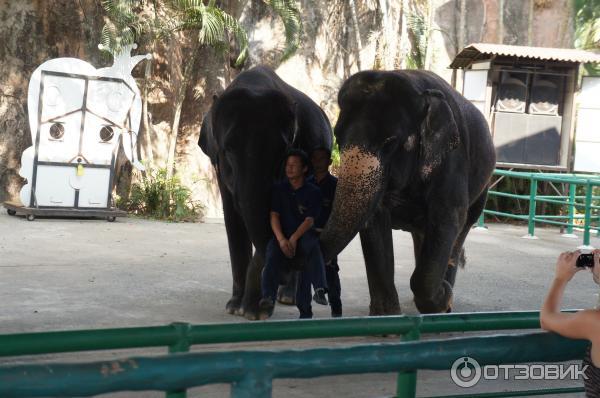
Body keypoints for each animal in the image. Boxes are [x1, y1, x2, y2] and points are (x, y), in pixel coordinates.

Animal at [200, 65, 332, 320]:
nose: (282, 271)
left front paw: (255, 311)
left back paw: (288, 297)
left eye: (283, 151)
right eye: (228, 150)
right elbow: (233, 218)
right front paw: (234, 307)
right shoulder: (220, 168)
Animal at [322, 70, 494, 316]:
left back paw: (446, 298)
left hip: (483, 188)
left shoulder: (453, 160)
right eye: (337, 136)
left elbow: (447, 218)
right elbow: (375, 222)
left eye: (390, 142)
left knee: (461, 229)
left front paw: (443, 297)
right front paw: (387, 318)